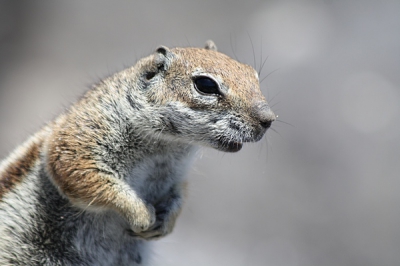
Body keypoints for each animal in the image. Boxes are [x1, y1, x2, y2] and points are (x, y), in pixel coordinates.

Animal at [0, 40, 276, 264]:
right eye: (206, 85)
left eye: (252, 74)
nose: (269, 119)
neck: (166, 148)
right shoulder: (81, 138)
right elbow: (85, 175)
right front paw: (142, 216)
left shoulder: (177, 177)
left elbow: (180, 193)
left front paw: (166, 223)